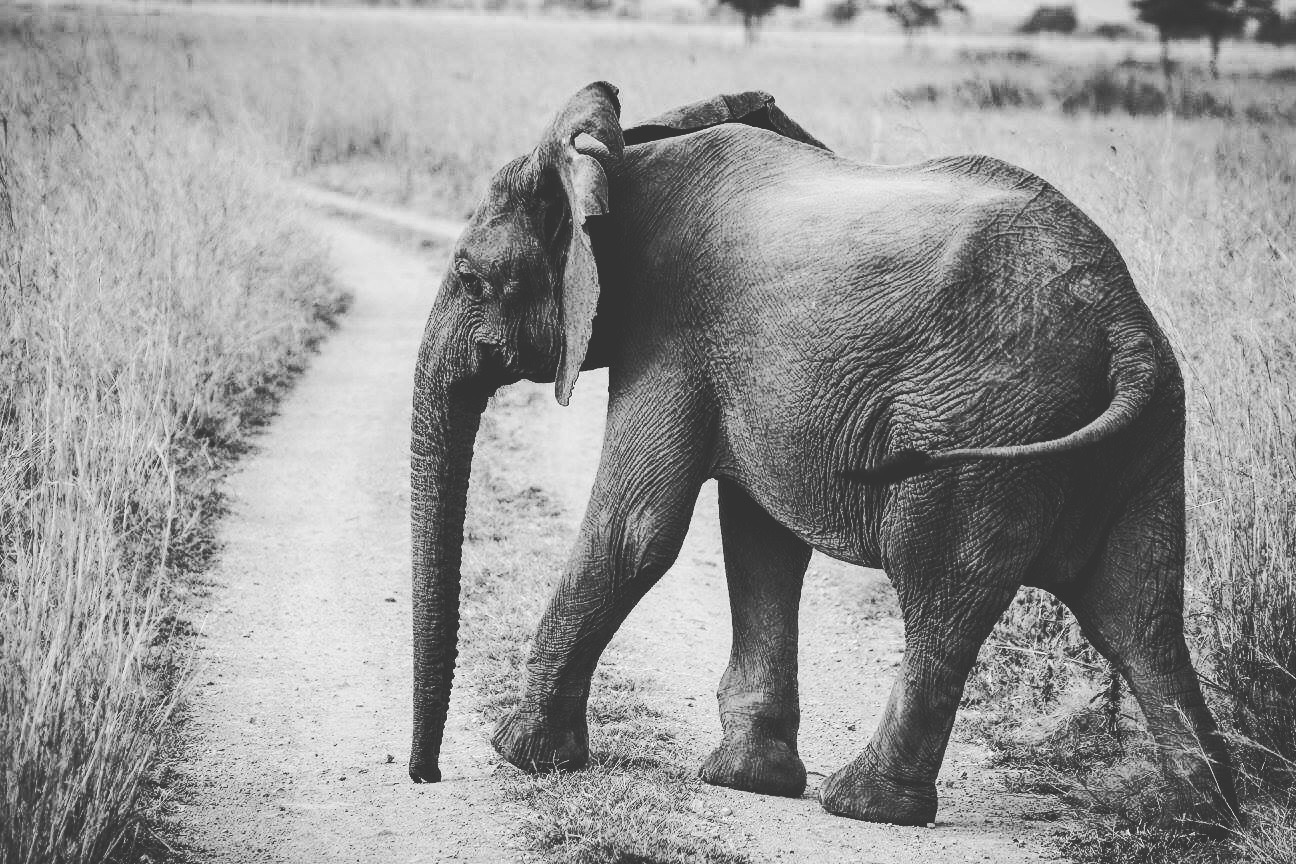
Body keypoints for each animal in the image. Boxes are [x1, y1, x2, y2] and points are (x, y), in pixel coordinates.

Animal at [408, 82, 1239, 831]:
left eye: (471, 277)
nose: (426, 776)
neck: (620, 161)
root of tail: (1122, 319)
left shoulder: (668, 336)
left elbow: (635, 532)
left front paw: (519, 753)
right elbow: (761, 543)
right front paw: (747, 780)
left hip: (987, 422)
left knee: (943, 587)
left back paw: (866, 804)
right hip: (1147, 434)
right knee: (1135, 613)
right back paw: (1200, 817)